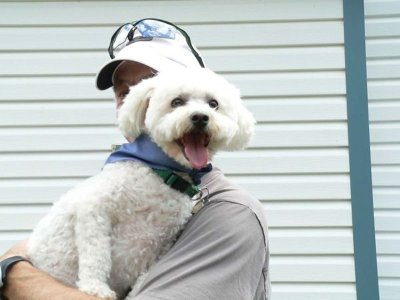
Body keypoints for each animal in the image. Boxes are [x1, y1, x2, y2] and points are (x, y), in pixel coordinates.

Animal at [25, 67, 256, 298]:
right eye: (177, 102)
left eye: (213, 104)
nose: (200, 117)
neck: (162, 172)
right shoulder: (93, 209)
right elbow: (96, 252)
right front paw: (95, 287)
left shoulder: (162, 244)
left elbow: (144, 278)